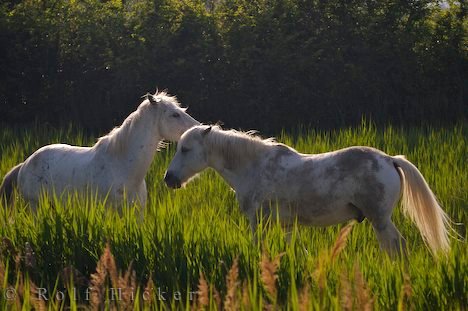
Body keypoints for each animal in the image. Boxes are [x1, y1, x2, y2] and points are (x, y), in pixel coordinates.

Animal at [165, 125, 454, 258]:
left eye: (186, 149)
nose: (169, 179)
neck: (254, 166)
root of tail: (390, 159)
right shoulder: (287, 225)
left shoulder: (258, 221)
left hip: (380, 220)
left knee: (397, 247)